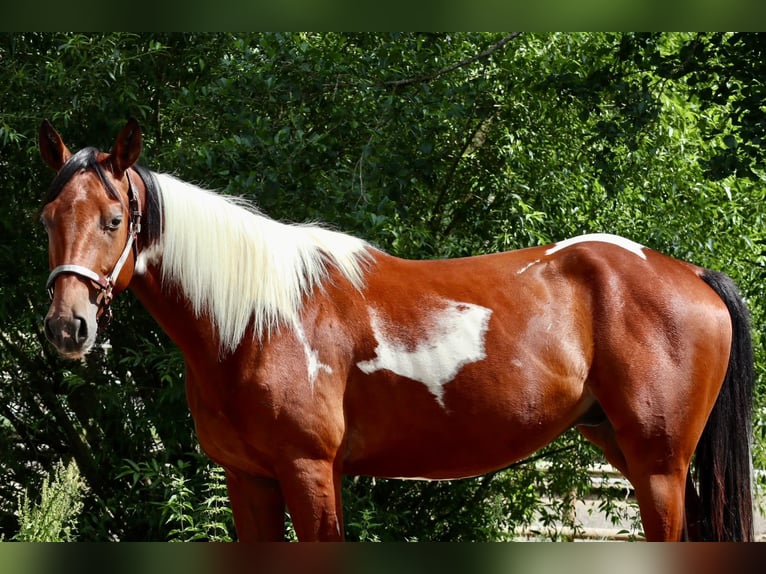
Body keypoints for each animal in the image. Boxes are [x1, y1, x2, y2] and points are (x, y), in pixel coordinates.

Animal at [38, 118, 754, 542]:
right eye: (47, 217)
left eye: (112, 220)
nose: (68, 327)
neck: (255, 322)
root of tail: (690, 272)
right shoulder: (250, 479)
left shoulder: (308, 470)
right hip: (625, 445)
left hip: (658, 462)